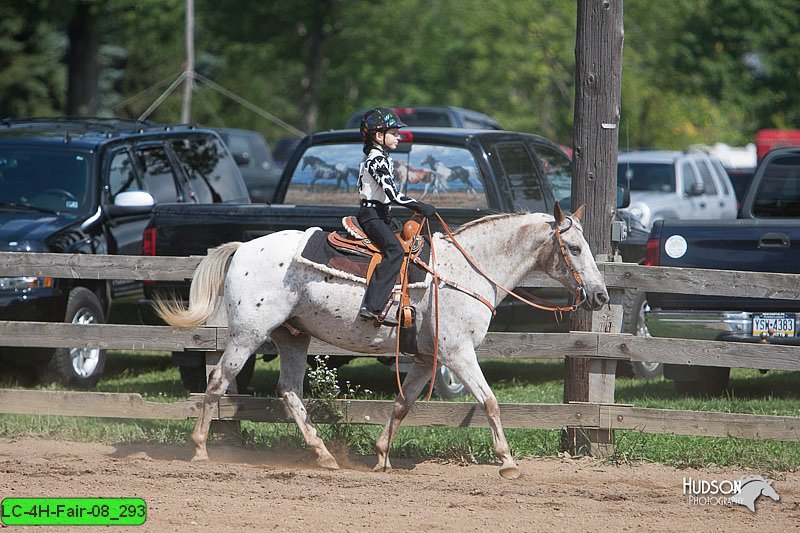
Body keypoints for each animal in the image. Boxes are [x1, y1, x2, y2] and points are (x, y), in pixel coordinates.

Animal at [155, 204, 608, 478]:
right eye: (573, 247)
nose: (601, 296)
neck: (463, 271)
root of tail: (244, 247)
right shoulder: (457, 353)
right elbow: (490, 402)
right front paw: (508, 462)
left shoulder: (426, 358)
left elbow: (403, 403)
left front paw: (382, 456)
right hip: (247, 334)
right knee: (217, 381)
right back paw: (199, 449)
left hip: (293, 336)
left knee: (289, 390)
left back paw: (323, 454)